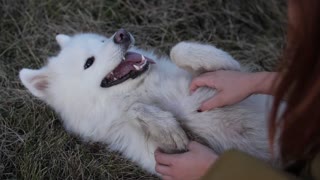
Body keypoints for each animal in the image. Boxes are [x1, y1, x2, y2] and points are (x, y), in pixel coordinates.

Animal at [20, 28, 278, 174]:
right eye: (89, 63)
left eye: (102, 41)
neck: (145, 89)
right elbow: (133, 110)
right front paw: (168, 127)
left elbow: (179, 50)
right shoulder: (161, 154)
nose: (121, 35)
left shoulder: (222, 78)